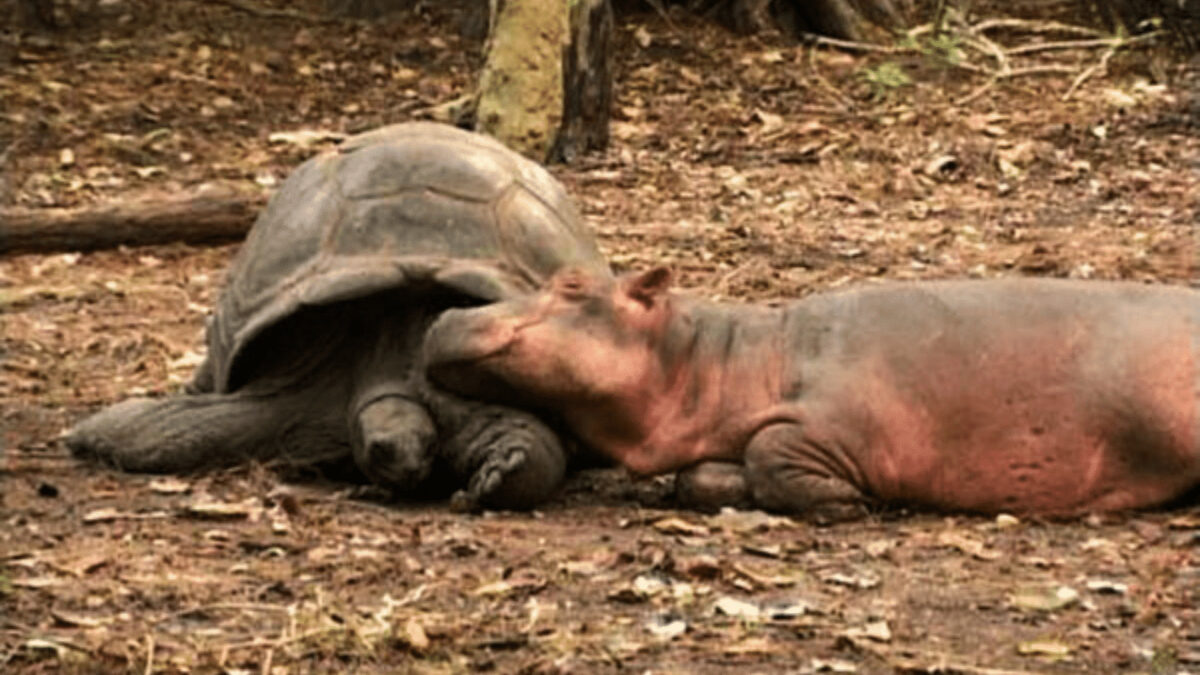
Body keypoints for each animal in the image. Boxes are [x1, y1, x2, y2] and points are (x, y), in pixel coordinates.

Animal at [423, 267, 1200, 520]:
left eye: (572, 284)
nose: (446, 314)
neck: (724, 360)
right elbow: (704, 472)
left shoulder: (847, 414)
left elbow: (774, 449)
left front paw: (846, 500)